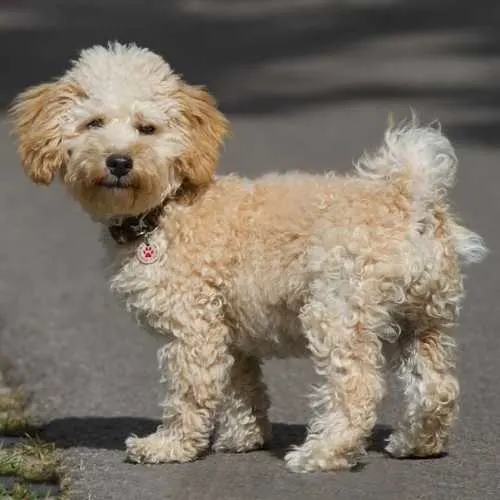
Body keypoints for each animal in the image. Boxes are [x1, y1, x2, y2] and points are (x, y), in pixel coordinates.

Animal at [10, 43, 484, 472]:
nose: (119, 161)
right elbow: (242, 388)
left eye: (147, 128)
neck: (165, 209)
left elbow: (191, 392)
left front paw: (169, 446)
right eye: (94, 123)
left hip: (339, 311)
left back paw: (323, 453)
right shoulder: (229, 330)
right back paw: (416, 444)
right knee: (437, 387)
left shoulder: (193, 328)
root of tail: (410, 199)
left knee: (357, 388)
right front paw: (243, 438)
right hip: (424, 319)